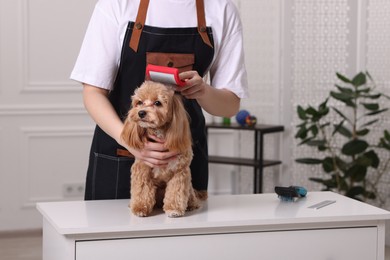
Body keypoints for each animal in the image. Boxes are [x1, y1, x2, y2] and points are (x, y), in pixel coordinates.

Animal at [121, 80, 201, 217]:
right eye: (139, 102)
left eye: (158, 103)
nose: (141, 112)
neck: (160, 133)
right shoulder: (142, 168)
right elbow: (141, 190)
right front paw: (140, 208)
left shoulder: (179, 172)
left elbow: (176, 192)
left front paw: (174, 209)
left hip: (189, 188)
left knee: (190, 196)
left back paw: (191, 205)